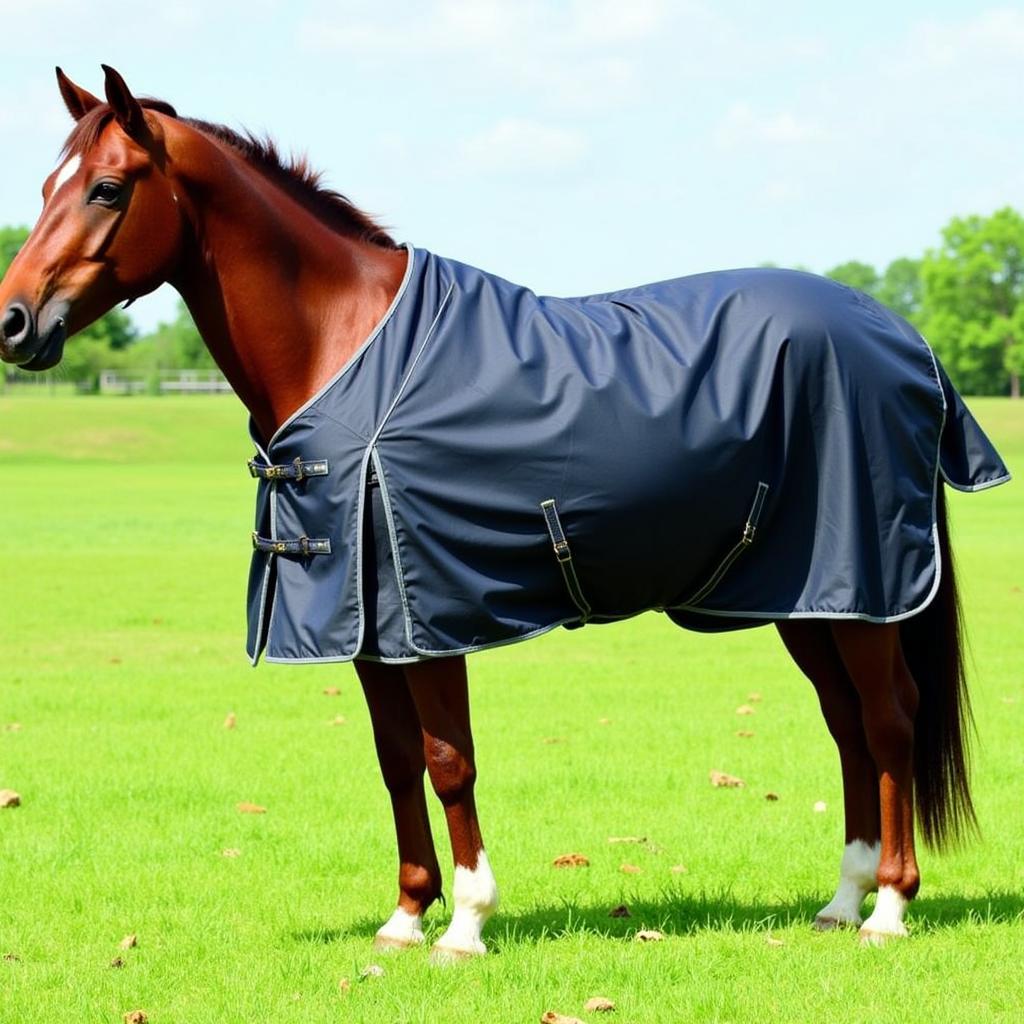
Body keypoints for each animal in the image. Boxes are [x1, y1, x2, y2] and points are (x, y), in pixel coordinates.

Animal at [0, 68, 1007, 954]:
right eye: (45, 186)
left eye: (106, 188)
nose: (13, 322)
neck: (349, 346)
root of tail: (905, 340)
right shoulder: (367, 626)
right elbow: (396, 759)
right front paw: (407, 916)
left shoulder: (427, 612)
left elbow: (450, 760)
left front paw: (468, 924)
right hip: (812, 596)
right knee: (847, 722)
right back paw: (840, 902)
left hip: (865, 588)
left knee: (889, 719)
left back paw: (889, 909)